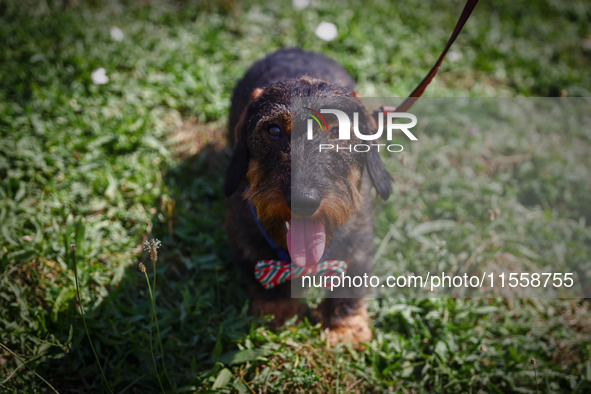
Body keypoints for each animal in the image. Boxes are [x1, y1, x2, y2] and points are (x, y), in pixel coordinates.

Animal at [224, 48, 390, 344]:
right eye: (274, 130)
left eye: (337, 131)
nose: (303, 201)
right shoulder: (243, 241)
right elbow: (266, 283)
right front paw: (279, 315)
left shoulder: (358, 247)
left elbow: (350, 284)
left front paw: (345, 329)